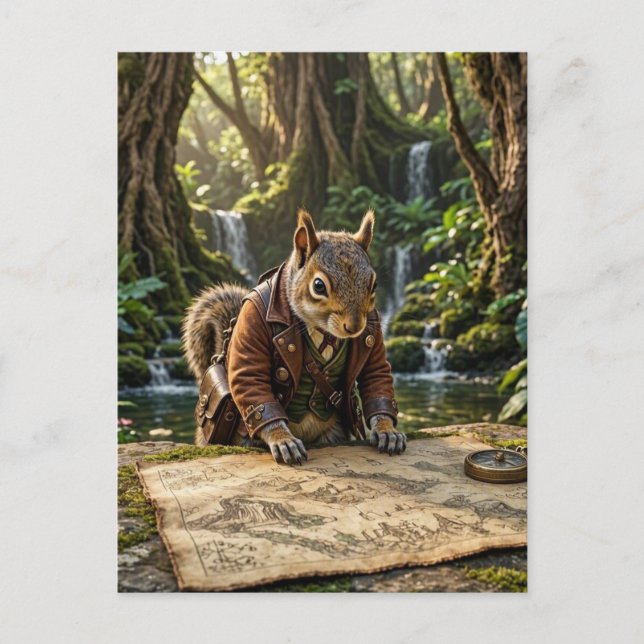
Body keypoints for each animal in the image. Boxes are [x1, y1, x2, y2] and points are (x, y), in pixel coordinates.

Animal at [181, 209, 405, 465]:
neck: (322, 330)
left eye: (374, 284)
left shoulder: (373, 331)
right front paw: (282, 439)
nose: (355, 326)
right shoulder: (253, 318)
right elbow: (250, 376)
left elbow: (376, 375)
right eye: (318, 286)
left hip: (333, 431)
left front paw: (387, 429)